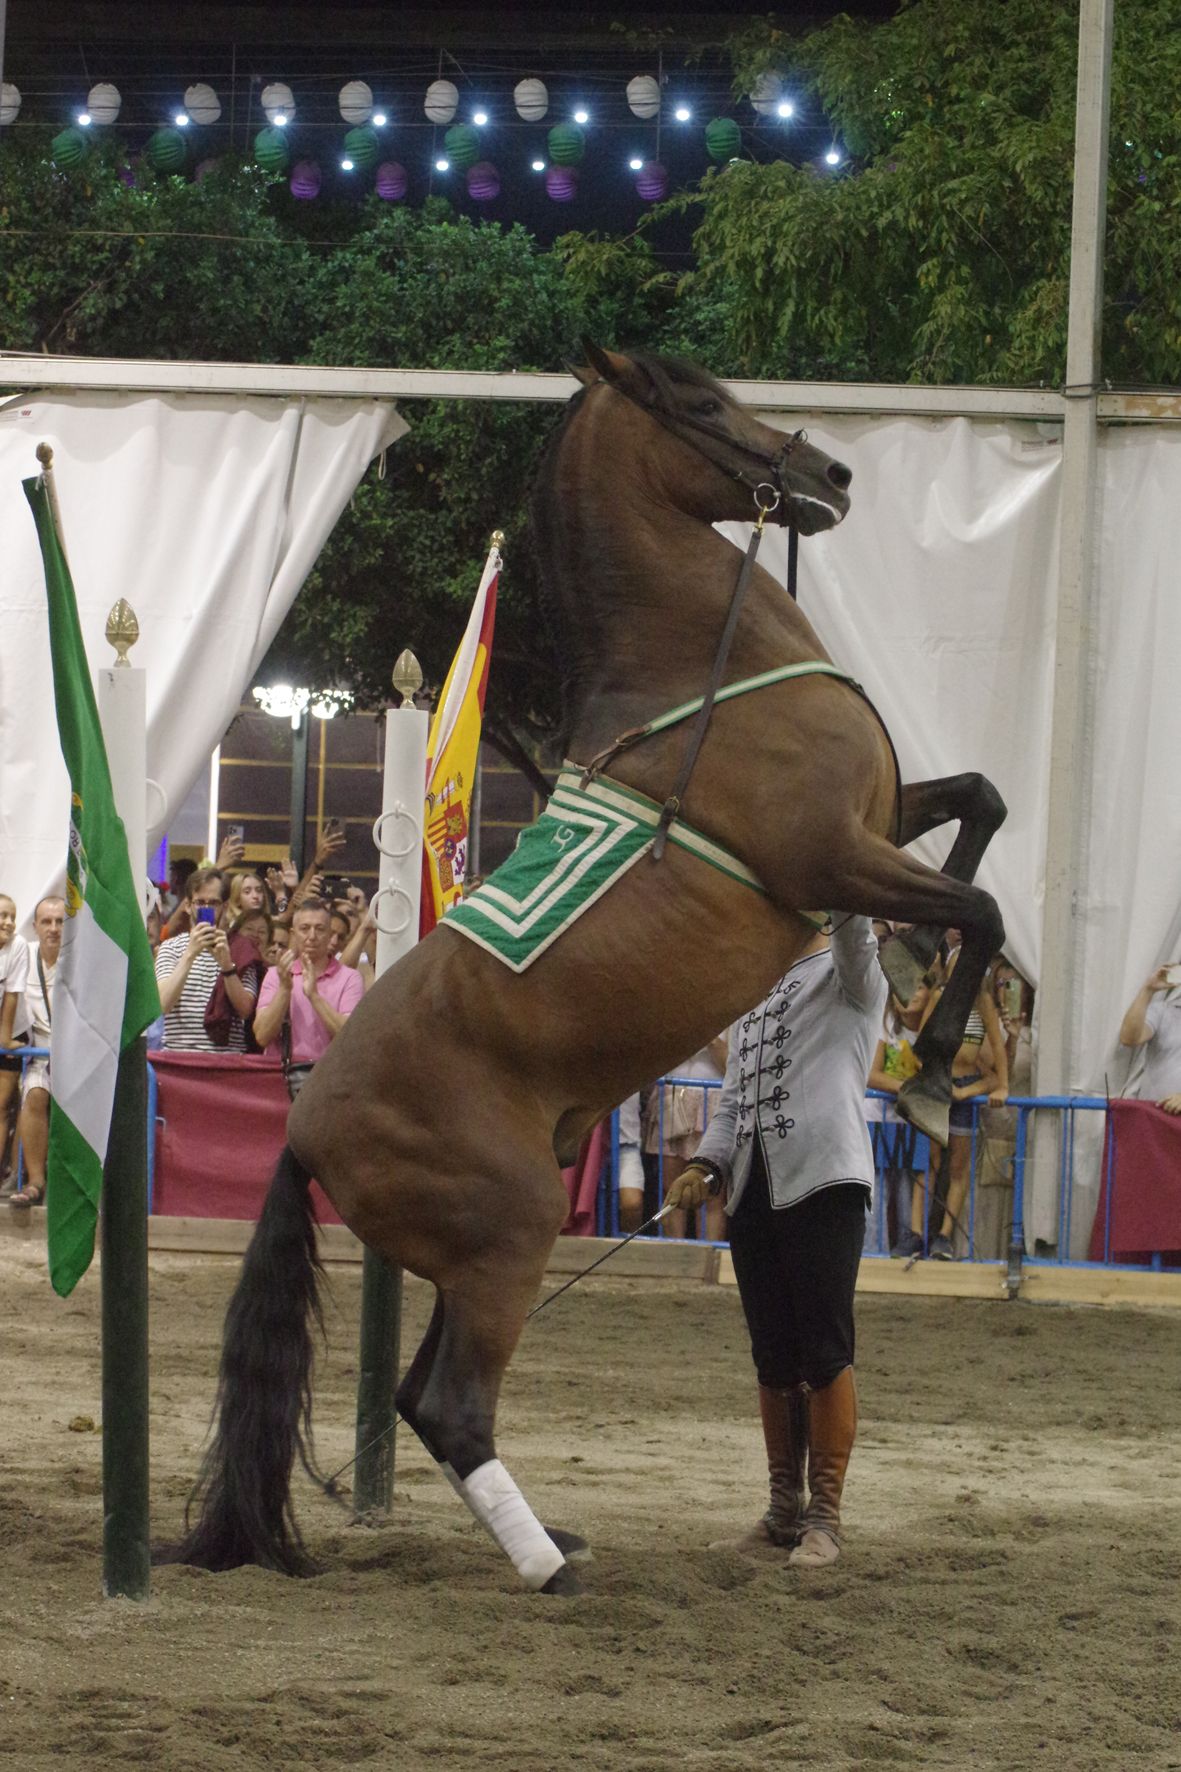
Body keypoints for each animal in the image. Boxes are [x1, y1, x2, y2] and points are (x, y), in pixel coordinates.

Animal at [177, 341, 1000, 1594]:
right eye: (701, 402)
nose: (828, 472)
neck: (698, 675)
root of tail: (304, 1122)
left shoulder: (874, 822)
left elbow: (980, 802)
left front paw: (911, 971)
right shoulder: (830, 852)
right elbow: (983, 904)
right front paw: (931, 1066)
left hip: (465, 1260)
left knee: (419, 1396)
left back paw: (551, 1537)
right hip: (508, 1236)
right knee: (453, 1405)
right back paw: (550, 1565)